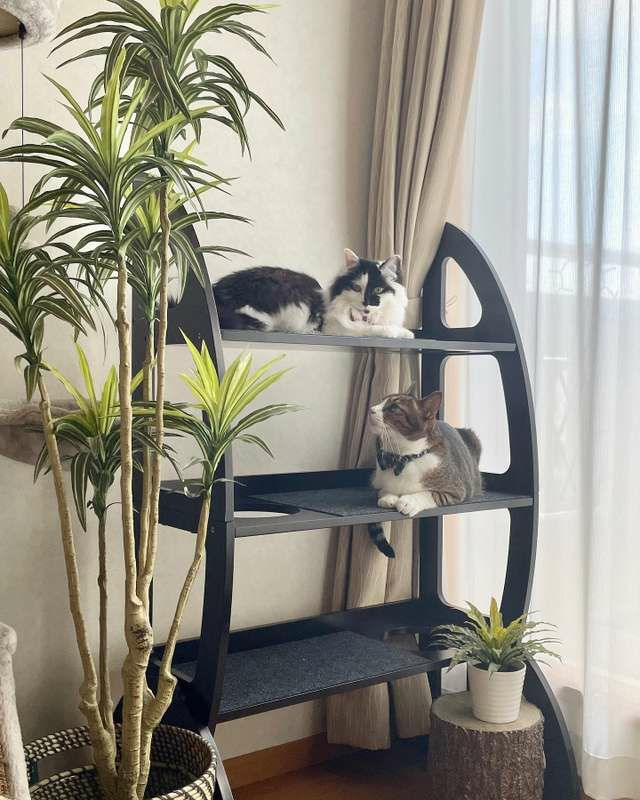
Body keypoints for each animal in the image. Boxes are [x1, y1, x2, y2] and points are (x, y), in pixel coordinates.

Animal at [367, 390, 482, 558]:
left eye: (394, 408)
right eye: (381, 401)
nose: (371, 409)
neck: (402, 457)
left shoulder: (456, 489)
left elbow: (430, 493)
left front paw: (408, 501)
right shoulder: (377, 475)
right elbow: (382, 489)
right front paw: (388, 496)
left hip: (473, 438)